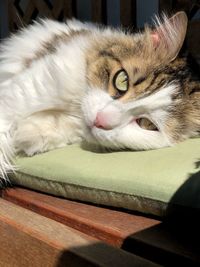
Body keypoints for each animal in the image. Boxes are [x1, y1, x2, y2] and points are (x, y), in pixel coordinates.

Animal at [0, 11, 198, 181]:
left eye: (146, 124)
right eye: (122, 81)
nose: (100, 120)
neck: (74, 105)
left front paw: (28, 136)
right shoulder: (28, 90)